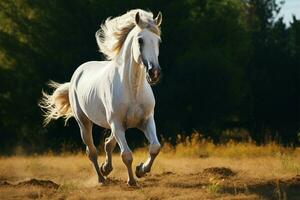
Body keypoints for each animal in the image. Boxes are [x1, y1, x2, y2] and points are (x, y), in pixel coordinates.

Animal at [39, 8, 163, 185]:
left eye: (158, 41)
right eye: (140, 40)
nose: (154, 73)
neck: (132, 89)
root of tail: (78, 72)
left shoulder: (146, 120)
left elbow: (155, 148)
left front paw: (141, 170)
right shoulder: (116, 123)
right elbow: (126, 155)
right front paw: (132, 181)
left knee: (108, 144)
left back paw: (106, 169)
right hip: (84, 123)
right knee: (92, 151)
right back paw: (101, 178)